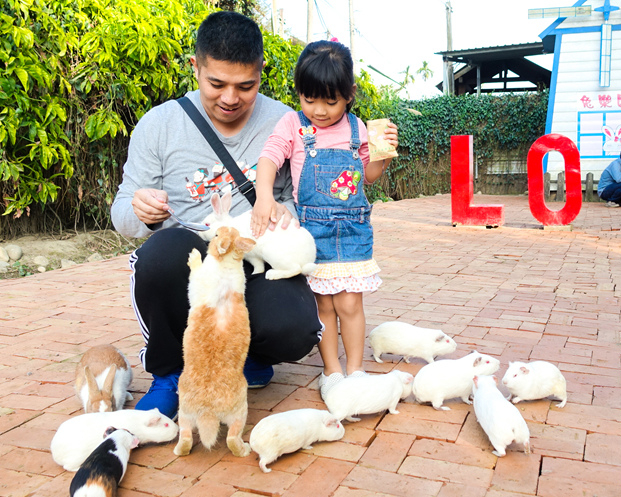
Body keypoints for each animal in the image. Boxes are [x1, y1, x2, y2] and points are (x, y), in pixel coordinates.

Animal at [173, 227, 256, 456]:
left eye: (218, 235)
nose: (211, 231)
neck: (226, 263)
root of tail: (208, 412)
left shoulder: (198, 281)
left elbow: (194, 273)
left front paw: (194, 256)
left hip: (234, 412)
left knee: (230, 439)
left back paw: (244, 449)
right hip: (188, 411)